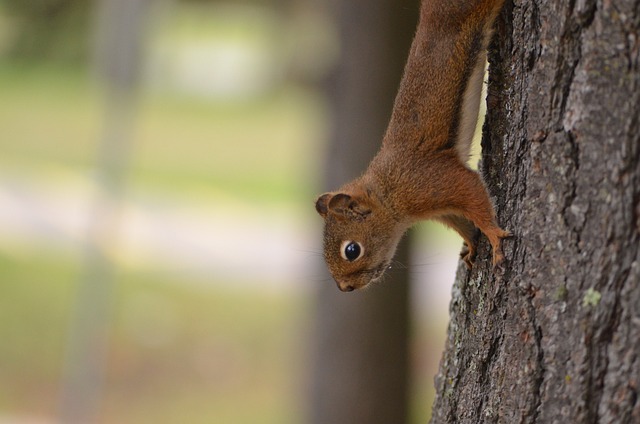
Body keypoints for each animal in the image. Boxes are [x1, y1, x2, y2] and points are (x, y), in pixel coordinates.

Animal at [316, 0, 510, 292]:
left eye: (352, 250)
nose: (344, 287)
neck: (387, 191)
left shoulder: (432, 181)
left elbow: (474, 194)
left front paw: (493, 235)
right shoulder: (442, 210)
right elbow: (462, 223)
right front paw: (472, 244)